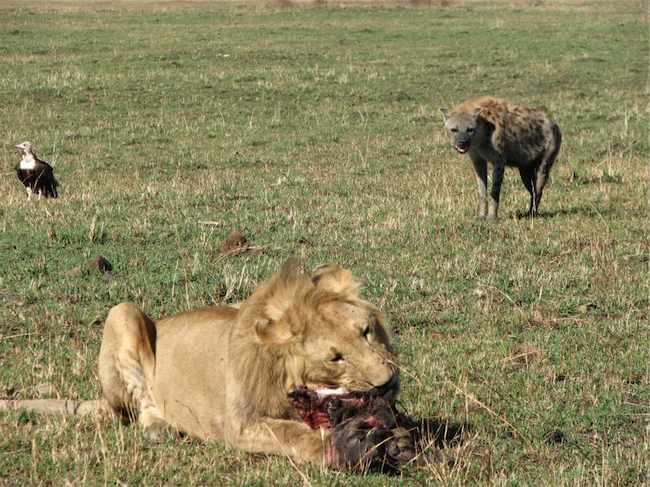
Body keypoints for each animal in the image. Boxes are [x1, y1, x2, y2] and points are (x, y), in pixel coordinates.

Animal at [98, 262, 398, 468]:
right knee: (140, 403)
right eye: (335, 358)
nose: (387, 383)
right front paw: (343, 444)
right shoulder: (240, 424)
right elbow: (287, 432)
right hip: (122, 311)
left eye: (366, 331)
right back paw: (158, 428)